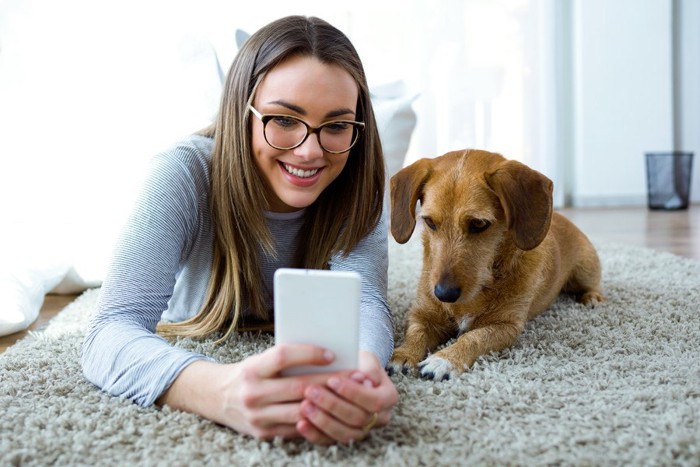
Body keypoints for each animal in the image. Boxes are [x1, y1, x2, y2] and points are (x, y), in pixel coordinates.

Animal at [392, 150, 604, 380]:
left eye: (478, 224)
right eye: (430, 222)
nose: (443, 294)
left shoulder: (506, 327)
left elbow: (473, 337)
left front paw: (444, 359)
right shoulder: (423, 316)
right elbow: (416, 333)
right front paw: (403, 355)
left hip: (585, 270)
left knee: (593, 285)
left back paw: (593, 298)